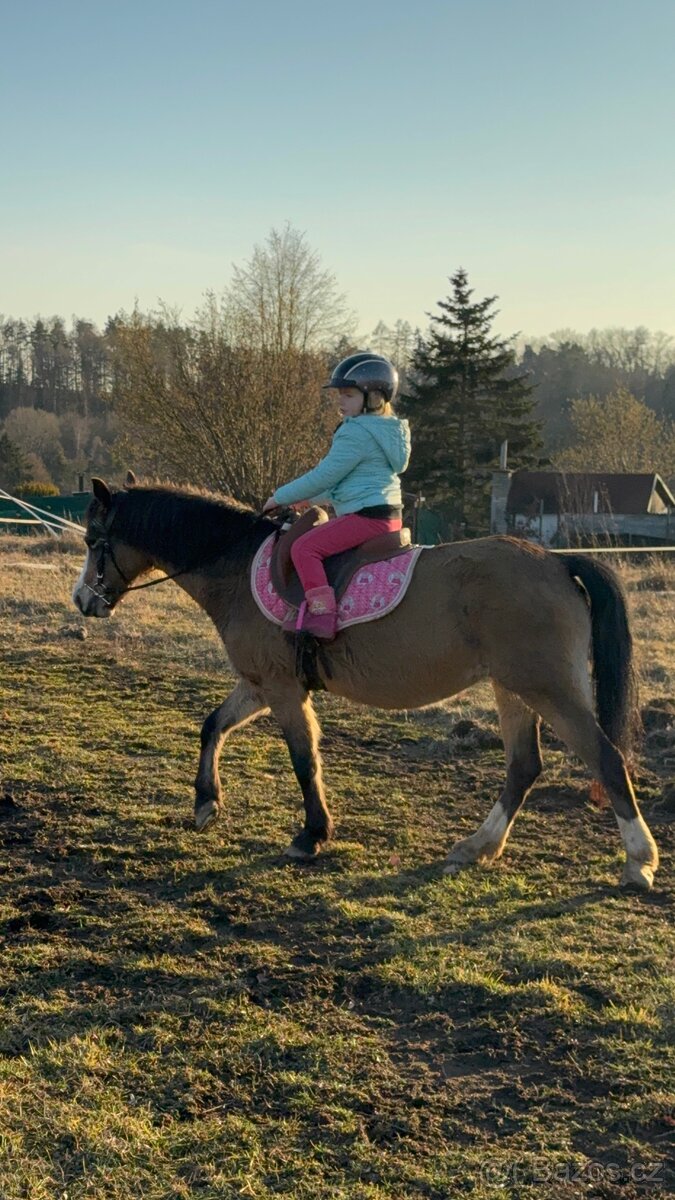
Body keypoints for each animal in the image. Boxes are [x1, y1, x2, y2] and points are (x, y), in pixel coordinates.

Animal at [72, 477, 659, 891]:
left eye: (95, 540)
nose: (82, 600)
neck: (236, 565)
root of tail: (557, 562)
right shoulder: (259, 684)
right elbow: (212, 726)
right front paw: (205, 802)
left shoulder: (282, 690)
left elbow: (304, 760)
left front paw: (311, 835)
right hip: (513, 690)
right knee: (523, 767)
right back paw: (478, 847)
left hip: (548, 689)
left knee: (606, 759)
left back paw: (639, 862)